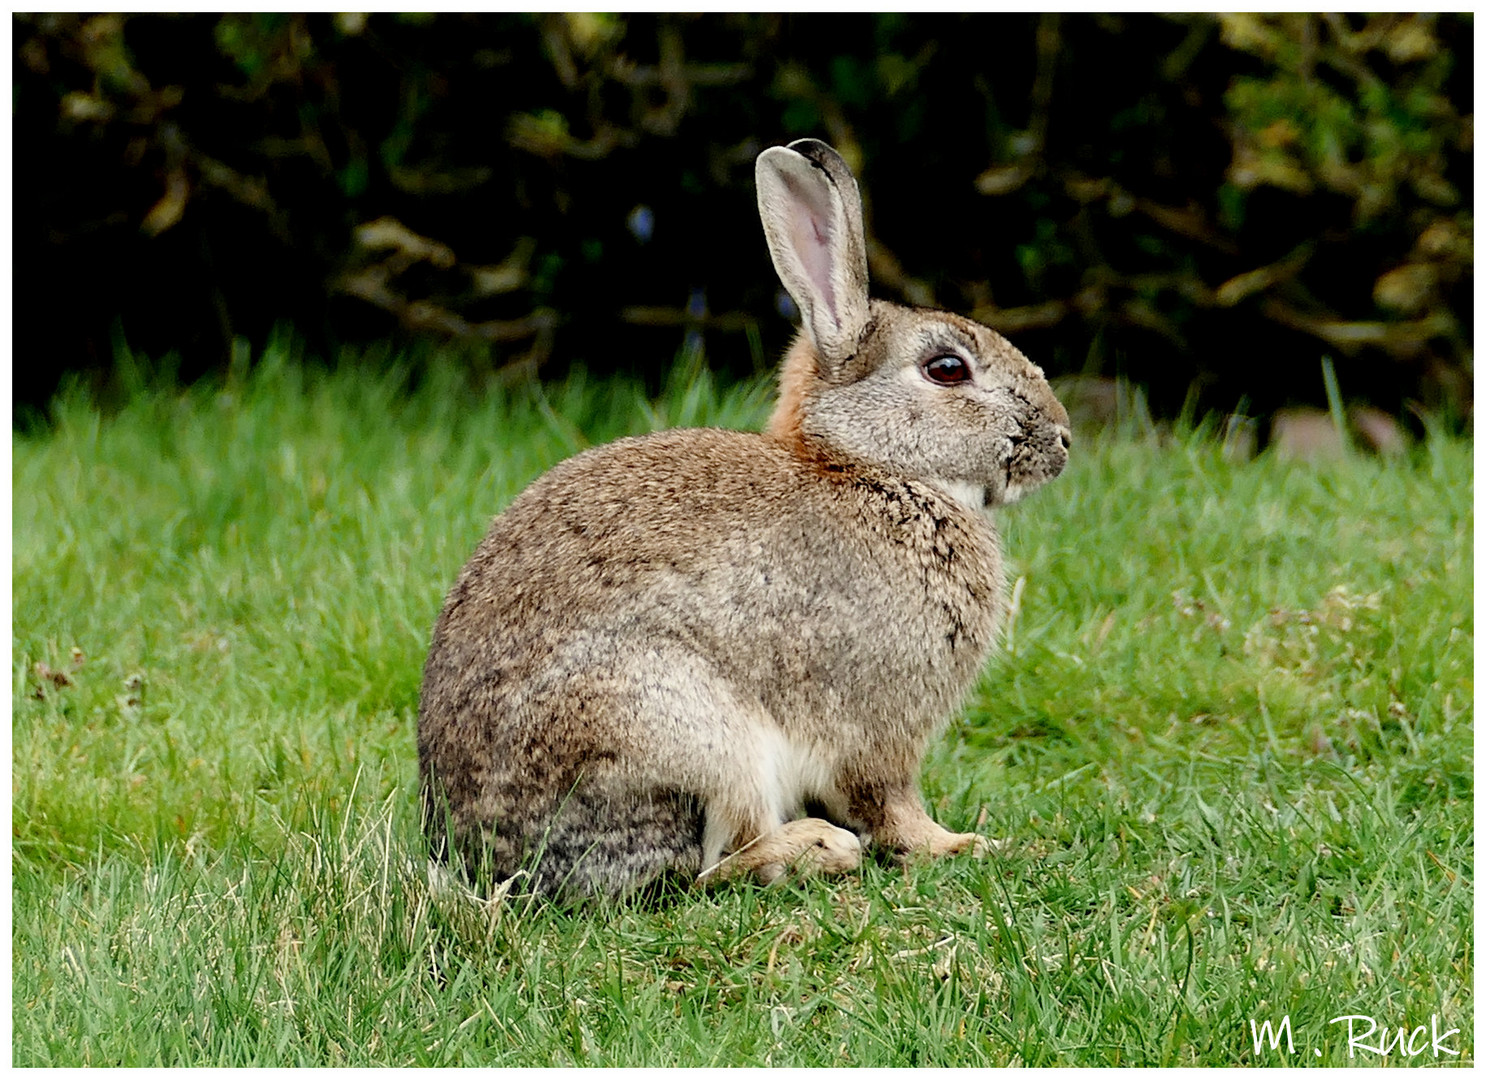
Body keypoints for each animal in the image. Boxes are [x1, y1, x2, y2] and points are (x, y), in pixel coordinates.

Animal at [419, 137, 1069, 897]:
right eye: (947, 369)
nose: (1061, 439)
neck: (866, 467)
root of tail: (491, 859)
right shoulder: (879, 727)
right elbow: (893, 806)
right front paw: (962, 844)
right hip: (691, 726)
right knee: (725, 860)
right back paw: (818, 847)